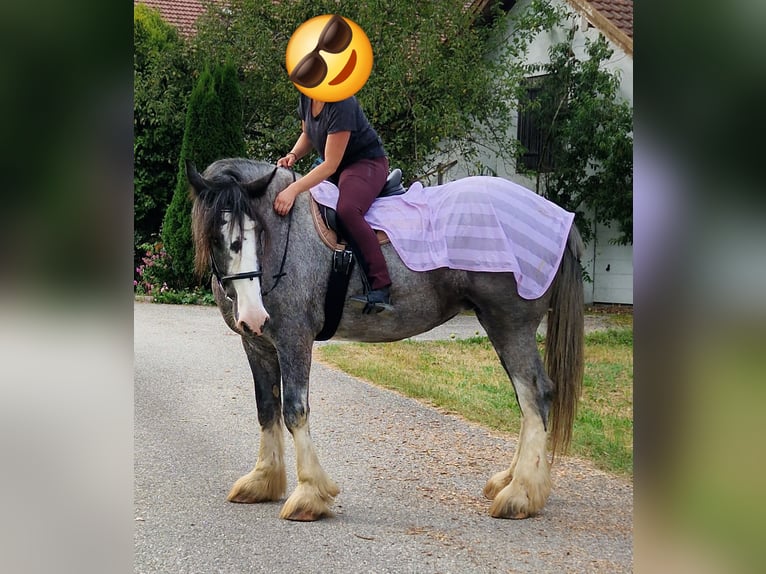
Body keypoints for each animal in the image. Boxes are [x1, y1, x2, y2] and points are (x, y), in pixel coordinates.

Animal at [189, 160, 584, 524]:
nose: (253, 313)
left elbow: (294, 412)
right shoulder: (258, 345)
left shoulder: (294, 339)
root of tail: (556, 217)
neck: (286, 233)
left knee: (535, 395)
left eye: (257, 230)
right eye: (215, 237)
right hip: (499, 326)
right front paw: (263, 480)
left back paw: (521, 494)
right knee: (526, 399)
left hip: (511, 325)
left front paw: (309, 494)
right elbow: (266, 409)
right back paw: (511, 480)